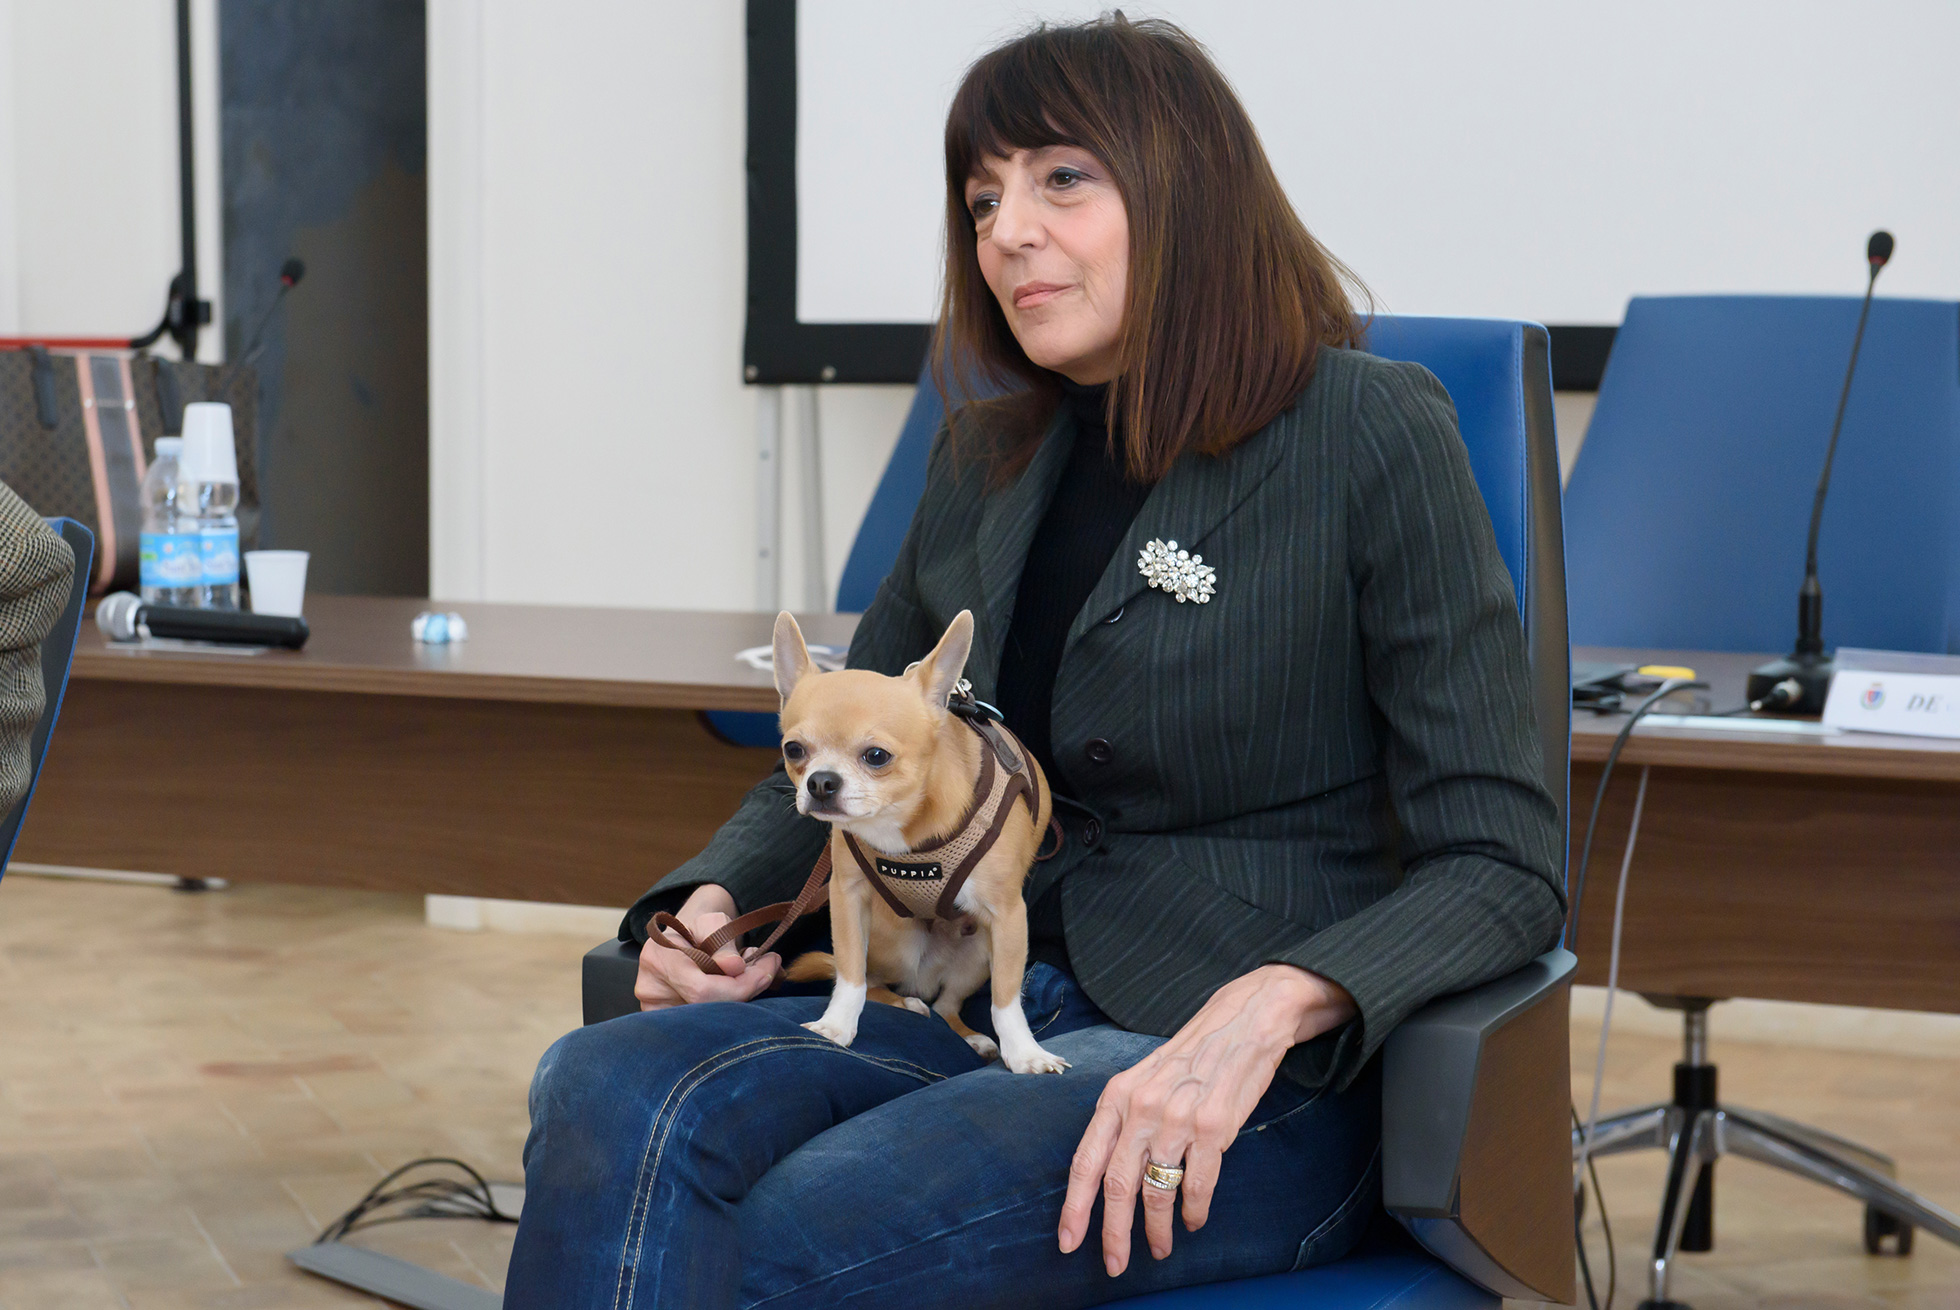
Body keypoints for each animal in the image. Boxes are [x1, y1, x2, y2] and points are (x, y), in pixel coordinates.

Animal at [768, 607, 1074, 1066]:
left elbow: (1005, 1000)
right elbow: (850, 974)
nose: (821, 782)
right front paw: (837, 1025)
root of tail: (924, 978)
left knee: (947, 1005)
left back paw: (970, 1036)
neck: (899, 825)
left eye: (876, 756)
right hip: (897, 942)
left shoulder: (1007, 918)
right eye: (794, 750)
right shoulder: (847, 898)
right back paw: (907, 1003)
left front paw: (1024, 1054)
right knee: (876, 980)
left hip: (977, 954)